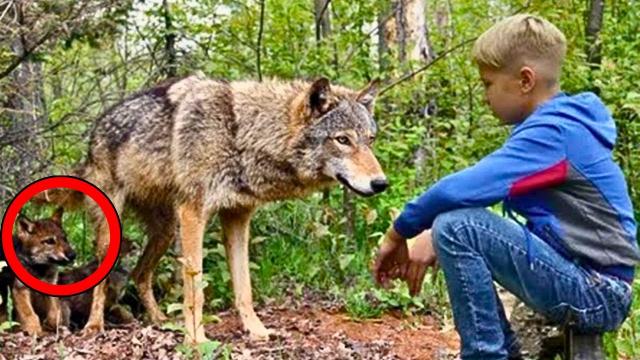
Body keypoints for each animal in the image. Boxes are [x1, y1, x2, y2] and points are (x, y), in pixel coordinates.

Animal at [43, 75, 390, 344]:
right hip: (114, 233)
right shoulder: (193, 213)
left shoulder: (238, 217)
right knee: (102, 280)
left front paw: (257, 331)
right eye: (342, 140)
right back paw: (94, 326)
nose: (381, 183)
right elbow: (195, 288)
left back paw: (159, 320)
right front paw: (196, 340)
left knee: (141, 274)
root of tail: (94, 132)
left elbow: (244, 288)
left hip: (165, 232)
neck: (239, 133)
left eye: (370, 140)